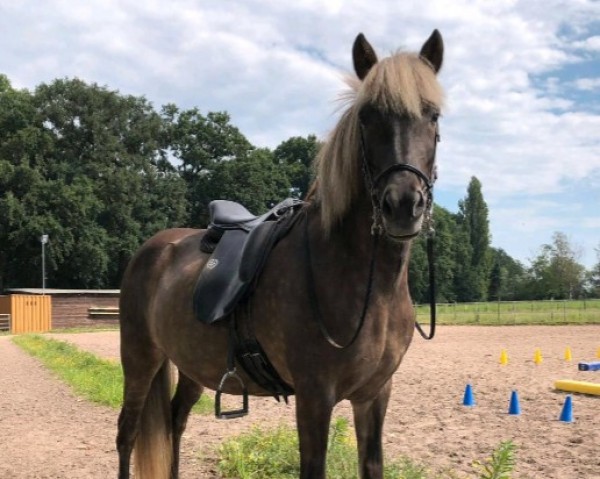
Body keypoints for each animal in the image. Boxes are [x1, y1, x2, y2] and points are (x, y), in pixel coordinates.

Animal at [118, 30, 446, 479]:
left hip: (189, 363)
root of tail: (151, 250)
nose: (402, 205)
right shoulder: (314, 397)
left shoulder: (375, 395)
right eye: (367, 116)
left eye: (433, 116)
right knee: (128, 433)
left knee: (174, 424)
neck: (366, 286)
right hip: (138, 357)